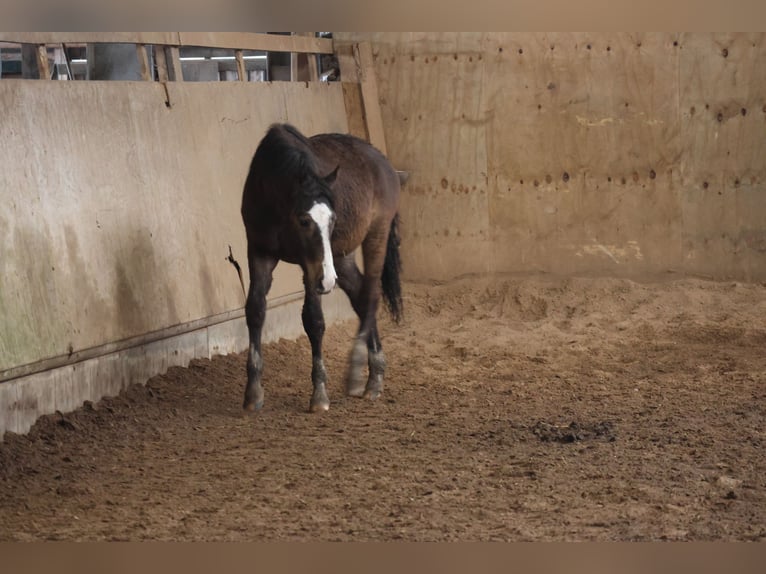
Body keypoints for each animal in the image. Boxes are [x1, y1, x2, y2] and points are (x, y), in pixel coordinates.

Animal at [243, 124, 404, 414]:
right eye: (304, 220)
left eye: (333, 219)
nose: (328, 281)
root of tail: (385, 163)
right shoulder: (259, 252)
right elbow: (256, 310)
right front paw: (253, 392)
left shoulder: (310, 266)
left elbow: (314, 320)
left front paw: (319, 393)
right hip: (340, 258)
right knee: (361, 297)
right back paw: (375, 371)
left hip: (375, 236)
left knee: (371, 295)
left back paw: (361, 375)